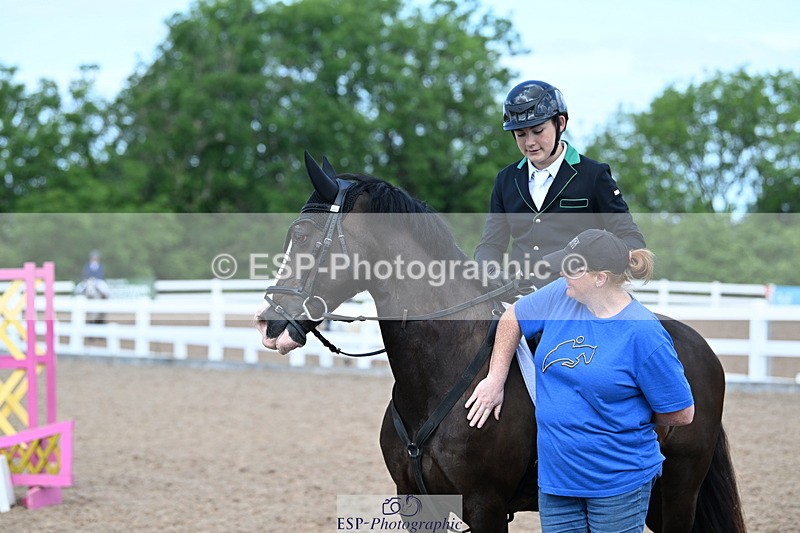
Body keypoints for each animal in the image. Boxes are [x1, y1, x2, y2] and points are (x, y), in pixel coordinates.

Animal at [255, 152, 746, 532]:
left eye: (301, 235)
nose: (268, 324)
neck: (441, 371)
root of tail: (699, 346)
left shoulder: (485, 505)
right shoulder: (416, 501)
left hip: (680, 487)